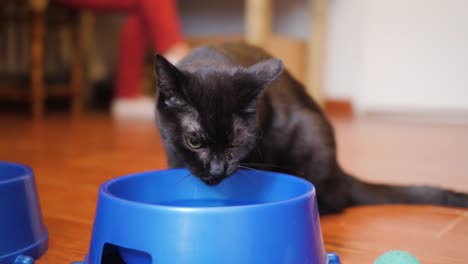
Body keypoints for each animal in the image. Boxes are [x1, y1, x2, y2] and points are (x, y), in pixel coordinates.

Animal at [154, 41, 468, 214]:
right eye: (194, 142)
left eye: (235, 143)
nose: (218, 170)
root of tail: (341, 173)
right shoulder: (171, 149)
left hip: (310, 133)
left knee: (334, 200)